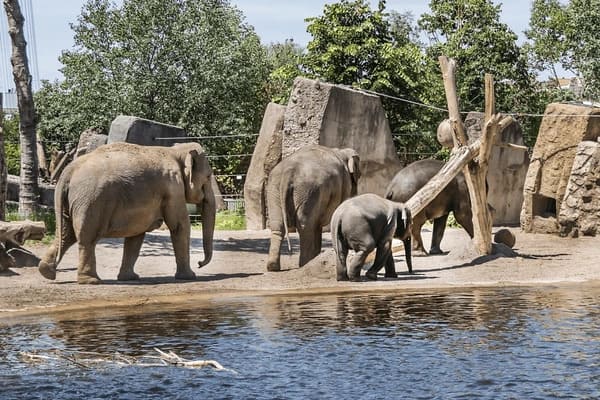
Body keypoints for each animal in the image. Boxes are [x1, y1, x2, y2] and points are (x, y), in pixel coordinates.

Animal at [38, 142, 216, 282]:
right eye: (208, 177)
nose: (200, 264)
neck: (175, 150)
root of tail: (68, 171)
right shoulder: (173, 188)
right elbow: (179, 226)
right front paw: (190, 277)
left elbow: (136, 234)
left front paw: (130, 278)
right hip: (91, 202)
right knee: (86, 238)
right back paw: (91, 281)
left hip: (73, 202)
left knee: (66, 234)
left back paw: (46, 272)